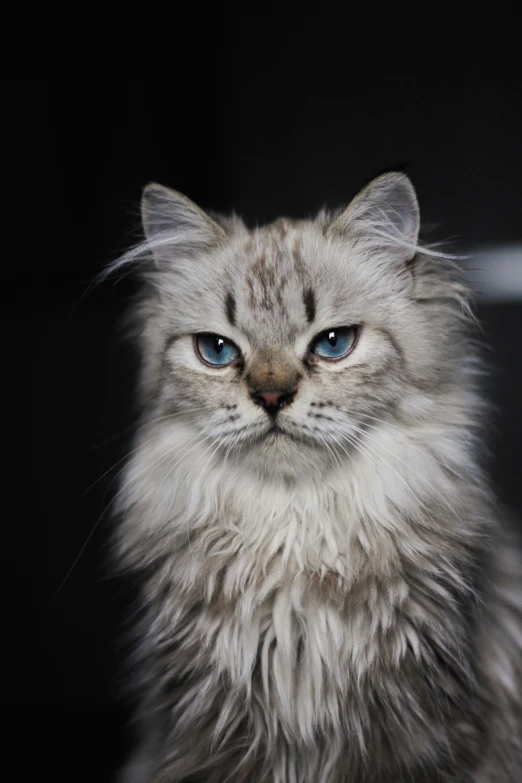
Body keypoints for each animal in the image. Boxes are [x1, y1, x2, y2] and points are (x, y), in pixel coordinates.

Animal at [114, 175, 520, 780]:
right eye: (217, 350)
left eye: (333, 343)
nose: (271, 396)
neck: (294, 529)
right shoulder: (204, 733)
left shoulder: (426, 733)